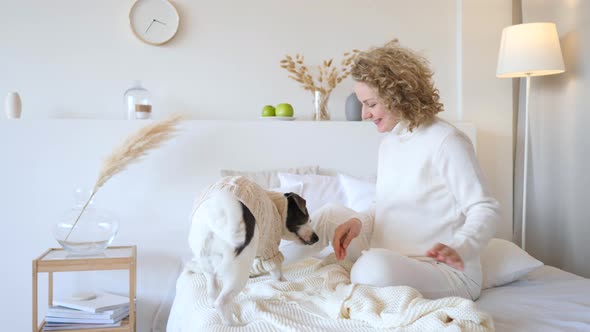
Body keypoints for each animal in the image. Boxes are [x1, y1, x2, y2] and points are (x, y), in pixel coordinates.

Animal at [190, 175, 320, 326]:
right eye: (306, 219)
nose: (316, 238)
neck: (278, 206)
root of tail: (216, 213)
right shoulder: (270, 249)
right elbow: (277, 273)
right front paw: (283, 282)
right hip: (239, 270)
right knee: (222, 301)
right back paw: (233, 325)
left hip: (208, 265)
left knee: (212, 292)